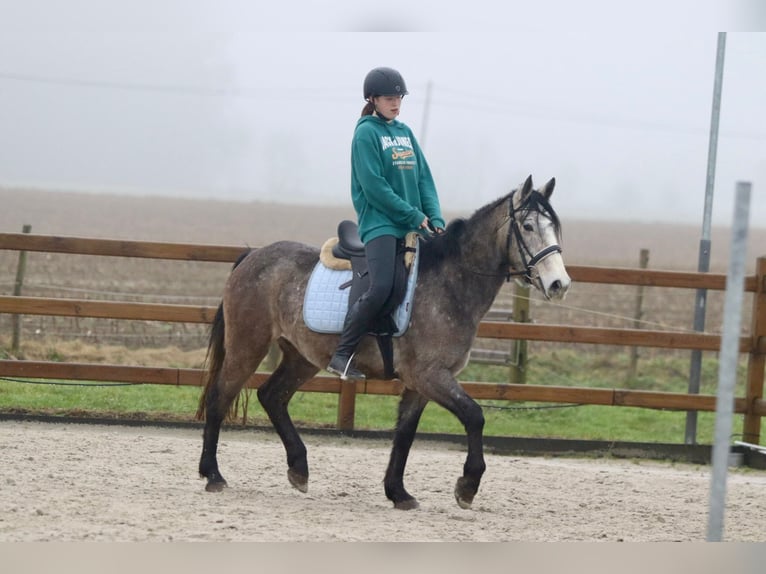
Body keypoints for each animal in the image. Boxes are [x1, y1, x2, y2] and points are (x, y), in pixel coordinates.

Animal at [196, 176, 568, 512]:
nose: (559, 284)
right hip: (248, 346)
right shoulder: (430, 376)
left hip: (302, 356)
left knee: (272, 396)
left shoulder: (422, 383)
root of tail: (253, 255)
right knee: (219, 397)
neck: (450, 284)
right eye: (528, 226)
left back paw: (298, 469)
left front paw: (398, 493)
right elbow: (475, 417)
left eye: (555, 228)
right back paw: (213, 475)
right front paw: (467, 486)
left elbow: (404, 434)